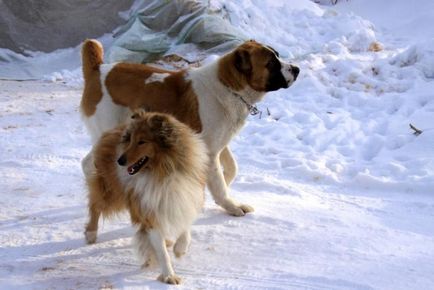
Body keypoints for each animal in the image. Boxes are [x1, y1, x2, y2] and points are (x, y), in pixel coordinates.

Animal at [80, 38, 298, 215]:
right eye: (271, 63)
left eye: (277, 56)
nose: (296, 69)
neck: (228, 86)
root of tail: (98, 69)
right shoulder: (210, 149)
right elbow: (219, 181)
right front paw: (231, 206)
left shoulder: (219, 143)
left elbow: (231, 169)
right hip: (112, 131)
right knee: (90, 162)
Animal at [83, 111, 210, 284]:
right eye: (130, 140)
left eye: (142, 142)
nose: (120, 161)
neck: (162, 172)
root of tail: (111, 131)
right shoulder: (149, 212)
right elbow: (162, 252)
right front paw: (169, 275)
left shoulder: (184, 198)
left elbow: (185, 229)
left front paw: (179, 250)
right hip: (111, 193)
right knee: (95, 206)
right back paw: (91, 233)